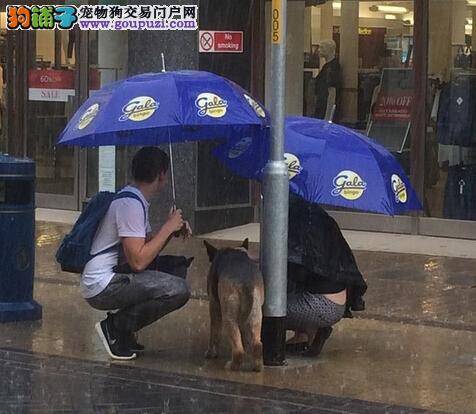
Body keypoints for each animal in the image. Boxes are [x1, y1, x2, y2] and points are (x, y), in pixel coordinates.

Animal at [204, 239, 266, 372]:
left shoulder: (214, 306)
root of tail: (246, 283)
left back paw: (232, 366)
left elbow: (214, 333)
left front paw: (211, 353)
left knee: (238, 350)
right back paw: (257, 366)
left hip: (229, 317)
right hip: (256, 315)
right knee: (257, 344)